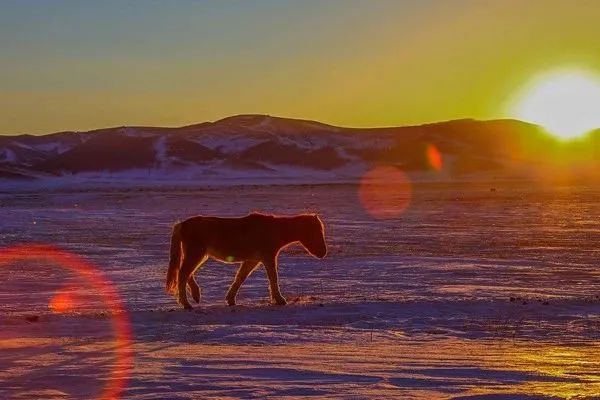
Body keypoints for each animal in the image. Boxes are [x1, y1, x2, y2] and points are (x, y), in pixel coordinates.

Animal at [165, 212, 328, 310]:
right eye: (316, 231)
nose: (323, 253)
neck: (274, 229)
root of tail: (182, 224)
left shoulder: (252, 260)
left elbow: (240, 278)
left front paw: (230, 300)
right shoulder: (268, 258)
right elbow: (273, 278)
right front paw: (280, 300)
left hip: (199, 255)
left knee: (186, 273)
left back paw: (196, 295)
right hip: (196, 254)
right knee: (183, 274)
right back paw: (187, 304)